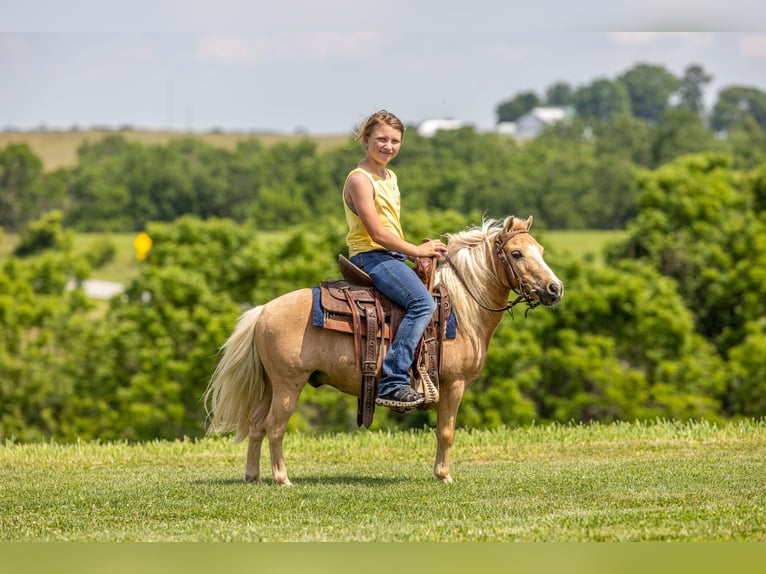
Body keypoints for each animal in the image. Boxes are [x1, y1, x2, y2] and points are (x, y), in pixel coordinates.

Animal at [204, 215, 563, 485]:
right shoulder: (454, 384)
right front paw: (444, 476)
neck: (462, 310)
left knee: (256, 424)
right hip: (289, 384)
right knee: (275, 426)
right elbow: (446, 431)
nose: (555, 288)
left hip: (271, 385)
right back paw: (282, 479)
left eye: (541, 250)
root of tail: (263, 310)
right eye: (516, 254)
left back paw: (253, 477)